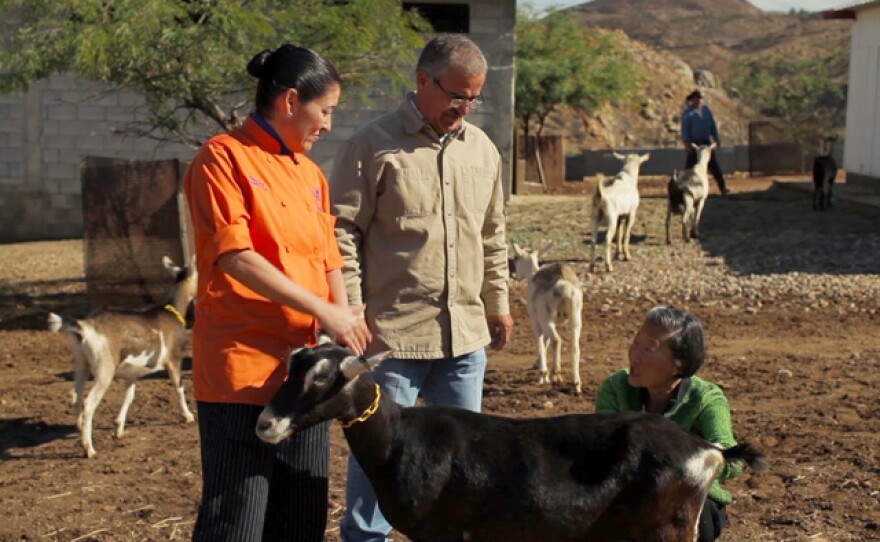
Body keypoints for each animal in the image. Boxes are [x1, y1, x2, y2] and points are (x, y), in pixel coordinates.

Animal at [48, 256, 196, 460]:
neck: (171, 310)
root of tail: (84, 326)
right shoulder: (173, 359)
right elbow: (179, 386)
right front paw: (188, 416)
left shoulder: (133, 372)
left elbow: (129, 396)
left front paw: (118, 429)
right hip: (104, 369)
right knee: (88, 404)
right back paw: (89, 449)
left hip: (82, 364)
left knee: (75, 397)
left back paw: (79, 429)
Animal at [256, 344, 764, 542]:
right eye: (292, 365)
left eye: (322, 378)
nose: (266, 424)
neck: (400, 438)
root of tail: (708, 450)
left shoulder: (443, 533)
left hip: (667, 530)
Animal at [508, 245, 584, 396]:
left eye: (516, 257)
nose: (514, 275)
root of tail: (562, 284)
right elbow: (546, 341)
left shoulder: (536, 322)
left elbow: (540, 340)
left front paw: (542, 375)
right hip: (575, 320)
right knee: (574, 346)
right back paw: (576, 385)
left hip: (547, 320)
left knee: (557, 340)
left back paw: (556, 376)